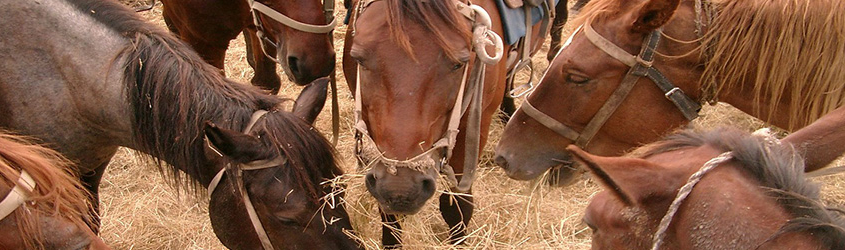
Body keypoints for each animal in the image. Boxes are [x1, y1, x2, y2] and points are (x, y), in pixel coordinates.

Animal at [342, 0, 552, 247]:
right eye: (358, 58)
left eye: (459, 64)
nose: (401, 188)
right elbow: (389, 214)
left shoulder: (474, 127)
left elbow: (458, 207)